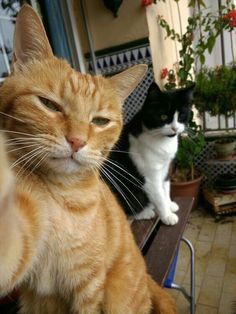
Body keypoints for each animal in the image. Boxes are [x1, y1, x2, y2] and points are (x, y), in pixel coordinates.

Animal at [105, 83, 194, 226]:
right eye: (163, 116)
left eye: (181, 116)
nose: (175, 128)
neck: (162, 140)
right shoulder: (150, 178)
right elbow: (159, 197)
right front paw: (167, 216)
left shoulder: (165, 168)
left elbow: (165, 189)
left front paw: (169, 205)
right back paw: (145, 212)